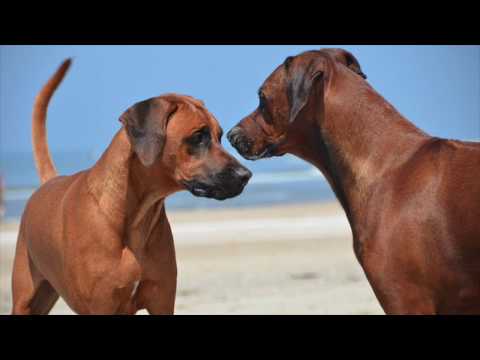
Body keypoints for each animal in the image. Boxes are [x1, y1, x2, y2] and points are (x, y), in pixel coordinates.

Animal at [11, 59, 251, 316]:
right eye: (198, 136)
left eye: (219, 136)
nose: (246, 175)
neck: (133, 217)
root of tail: (49, 182)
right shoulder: (101, 305)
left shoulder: (162, 300)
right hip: (25, 298)